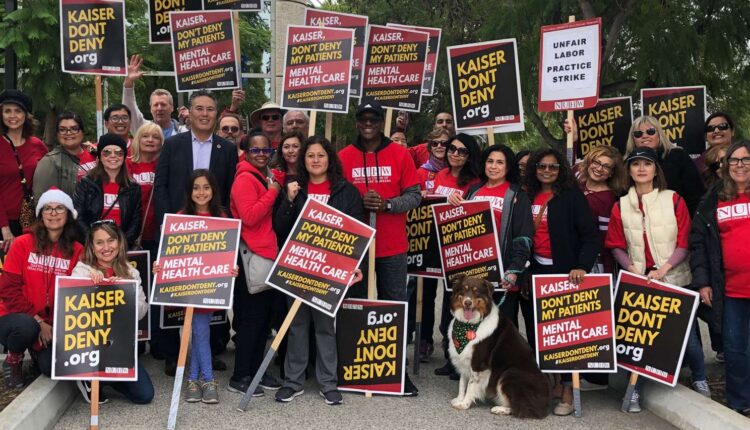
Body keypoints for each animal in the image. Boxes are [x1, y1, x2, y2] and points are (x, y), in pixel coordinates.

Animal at [448, 275, 549, 418]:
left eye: (476, 292)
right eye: (464, 289)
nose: (467, 303)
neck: (470, 324)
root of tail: (546, 401)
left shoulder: (478, 364)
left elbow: (471, 385)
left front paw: (465, 404)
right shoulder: (465, 359)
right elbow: (462, 382)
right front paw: (459, 399)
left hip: (509, 373)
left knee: (524, 408)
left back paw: (500, 409)